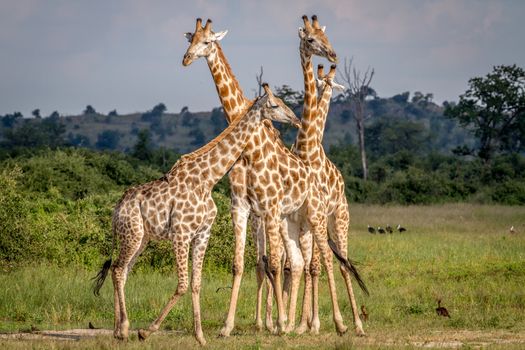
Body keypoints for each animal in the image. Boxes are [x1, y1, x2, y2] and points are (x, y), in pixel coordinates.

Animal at [90, 84, 300, 344]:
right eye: (274, 105)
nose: (295, 119)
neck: (206, 180)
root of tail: (117, 208)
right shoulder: (181, 233)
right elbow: (182, 284)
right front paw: (147, 331)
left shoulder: (202, 234)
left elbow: (196, 283)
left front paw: (200, 336)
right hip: (132, 234)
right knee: (118, 270)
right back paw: (126, 328)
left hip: (141, 238)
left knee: (122, 271)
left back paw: (119, 330)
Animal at [182, 17, 338, 334]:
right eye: (191, 40)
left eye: (208, 42)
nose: (186, 59)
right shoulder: (244, 207)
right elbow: (248, 263)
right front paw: (238, 324)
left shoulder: (268, 209)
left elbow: (274, 263)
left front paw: (279, 321)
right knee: (297, 262)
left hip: (319, 217)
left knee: (317, 262)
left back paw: (316, 323)